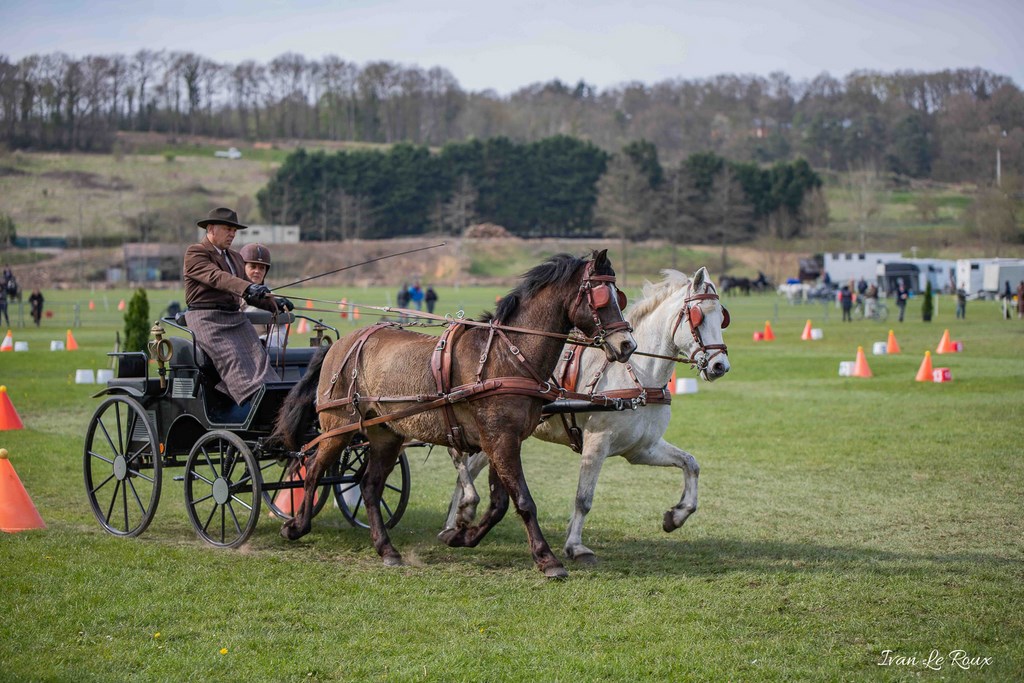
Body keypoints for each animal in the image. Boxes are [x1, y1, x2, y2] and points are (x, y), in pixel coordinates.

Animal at [444, 266, 733, 561]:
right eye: (697, 316)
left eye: (721, 317)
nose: (720, 366)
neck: (638, 375)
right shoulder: (597, 441)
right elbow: (583, 498)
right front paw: (575, 546)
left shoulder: (643, 449)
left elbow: (691, 464)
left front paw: (676, 516)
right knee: (461, 462)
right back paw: (459, 515)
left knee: (468, 467)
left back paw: (456, 521)